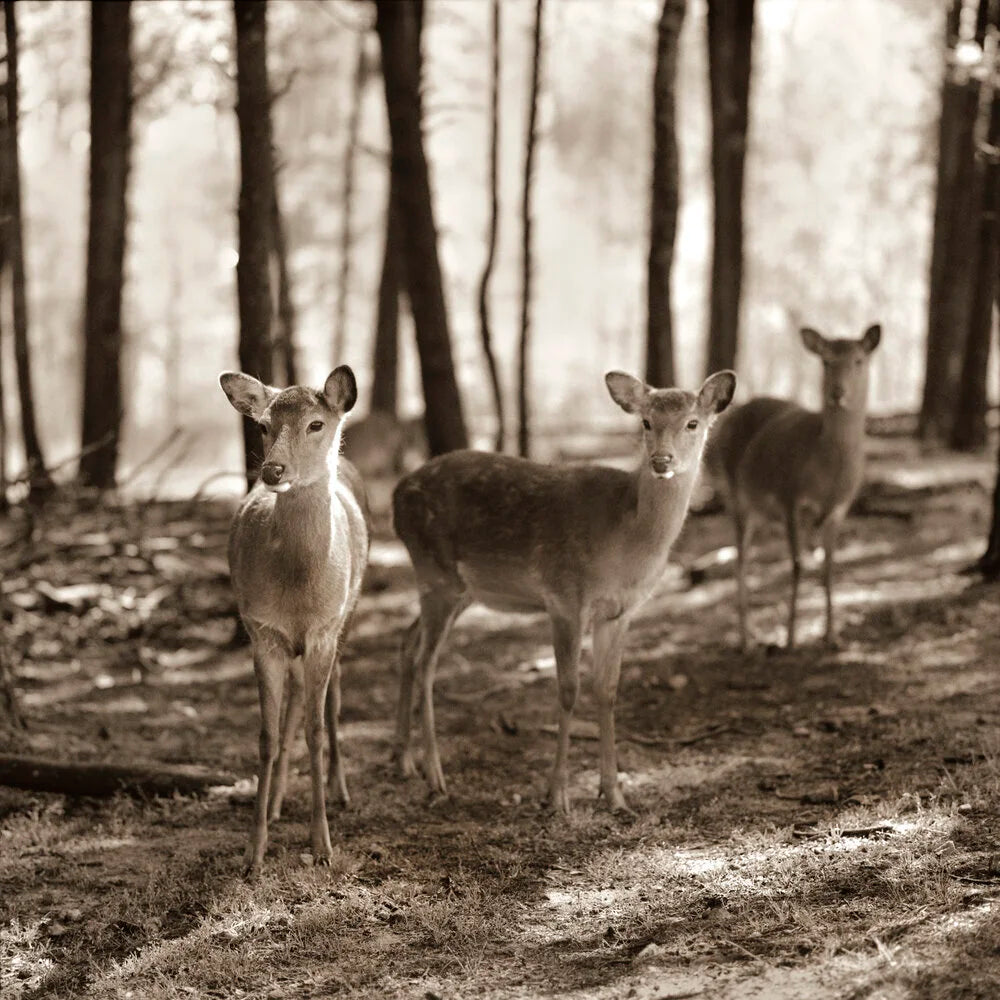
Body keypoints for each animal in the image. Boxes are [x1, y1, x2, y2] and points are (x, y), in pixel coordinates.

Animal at [219, 366, 370, 878]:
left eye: (316, 423)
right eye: (263, 425)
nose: (272, 471)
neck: (298, 592)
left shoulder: (324, 629)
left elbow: (316, 731)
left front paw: (323, 846)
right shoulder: (261, 631)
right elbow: (267, 735)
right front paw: (253, 852)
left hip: (348, 616)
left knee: (333, 699)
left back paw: (342, 790)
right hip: (290, 645)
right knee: (293, 705)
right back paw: (278, 801)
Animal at [391, 368, 736, 813]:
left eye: (693, 423)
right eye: (646, 422)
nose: (661, 461)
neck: (626, 538)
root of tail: (396, 496)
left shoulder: (620, 612)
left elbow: (607, 690)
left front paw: (615, 795)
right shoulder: (565, 597)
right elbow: (568, 690)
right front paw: (556, 795)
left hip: (456, 588)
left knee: (407, 642)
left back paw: (402, 761)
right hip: (436, 573)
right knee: (425, 662)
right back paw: (435, 776)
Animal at [704, 324, 881, 651]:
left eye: (859, 360)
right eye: (826, 360)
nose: (838, 392)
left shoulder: (839, 510)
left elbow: (829, 568)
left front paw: (832, 636)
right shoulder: (790, 497)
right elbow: (798, 565)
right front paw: (789, 640)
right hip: (736, 496)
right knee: (741, 561)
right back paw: (746, 640)